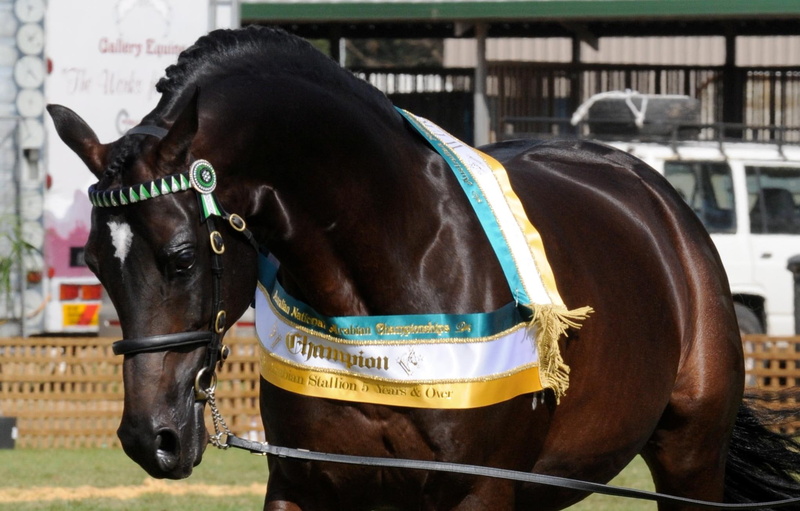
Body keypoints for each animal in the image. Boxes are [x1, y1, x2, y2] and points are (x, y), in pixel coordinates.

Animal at [47, 26, 800, 511]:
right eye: (96, 264)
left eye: (179, 258)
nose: (152, 438)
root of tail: (660, 202)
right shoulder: (304, 484)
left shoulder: (479, 490)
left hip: (688, 460)